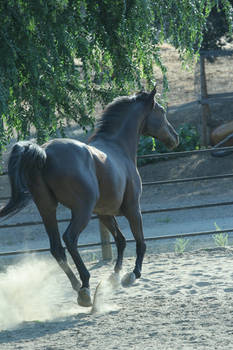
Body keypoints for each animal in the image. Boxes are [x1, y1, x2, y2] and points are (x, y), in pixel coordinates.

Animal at [0, 87, 178, 306]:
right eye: (161, 111)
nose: (175, 137)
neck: (118, 148)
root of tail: (44, 152)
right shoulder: (133, 208)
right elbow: (140, 242)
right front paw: (132, 274)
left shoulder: (104, 213)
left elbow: (121, 240)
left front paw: (115, 276)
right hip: (81, 210)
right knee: (70, 239)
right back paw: (85, 287)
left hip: (47, 208)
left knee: (56, 248)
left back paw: (77, 286)